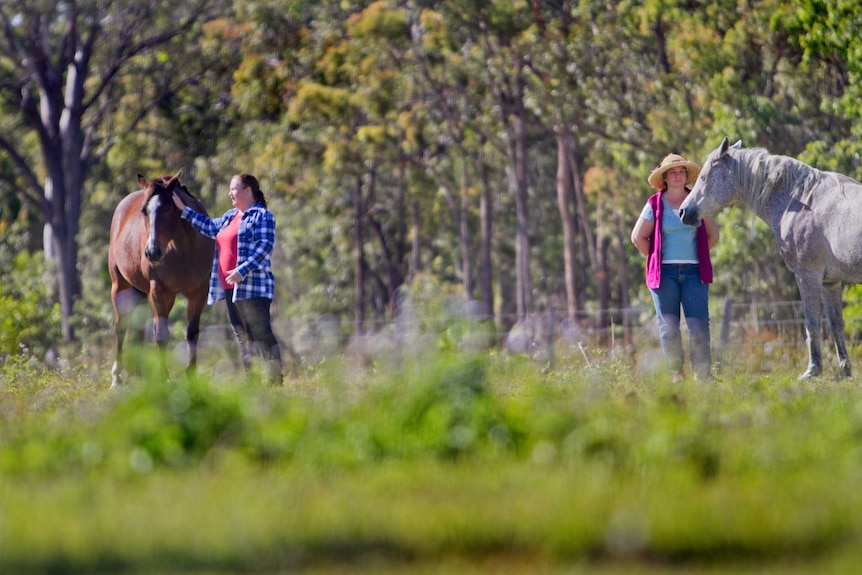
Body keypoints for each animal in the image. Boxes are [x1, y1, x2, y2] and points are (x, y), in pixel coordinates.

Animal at [108, 171, 216, 388]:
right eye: (144, 211)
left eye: (167, 208)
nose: (152, 252)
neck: (184, 250)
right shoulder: (160, 293)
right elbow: (161, 335)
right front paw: (164, 377)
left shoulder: (198, 293)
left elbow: (192, 333)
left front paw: (191, 375)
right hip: (120, 287)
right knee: (120, 327)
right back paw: (117, 378)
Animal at [680, 137, 862, 380]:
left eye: (703, 177)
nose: (683, 212)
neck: (803, 202)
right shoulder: (830, 282)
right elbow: (836, 325)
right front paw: (844, 371)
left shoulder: (807, 276)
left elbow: (812, 323)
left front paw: (813, 370)